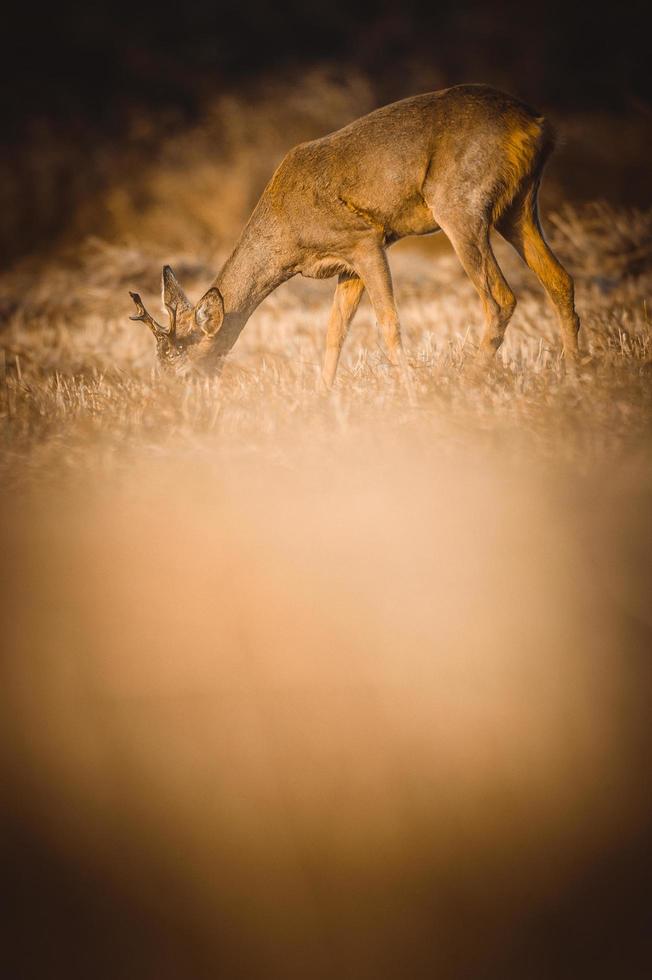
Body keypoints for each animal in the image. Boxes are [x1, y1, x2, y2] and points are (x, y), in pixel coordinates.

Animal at [129, 82, 580, 386]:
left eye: (183, 373)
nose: (169, 406)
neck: (286, 236)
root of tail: (536, 123)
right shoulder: (345, 265)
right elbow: (334, 334)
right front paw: (322, 400)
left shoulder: (366, 238)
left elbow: (388, 324)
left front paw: (408, 393)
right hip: (517, 206)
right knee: (560, 279)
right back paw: (573, 375)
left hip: (458, 202)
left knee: (501, 298)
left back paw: (466, 384)